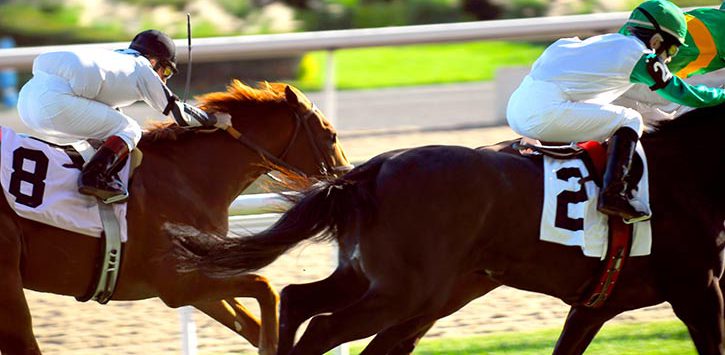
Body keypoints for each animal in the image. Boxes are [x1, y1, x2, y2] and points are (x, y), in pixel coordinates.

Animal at [0, 81, 350, 355]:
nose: (346, 178)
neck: (189, 175)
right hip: (9, 285)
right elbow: (264, 286)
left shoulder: (196, 277)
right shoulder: (176, 283)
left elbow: (247, 322)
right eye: (331, 135)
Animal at [175, 102, 724, 354]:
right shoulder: (698, 290)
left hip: (378, 280)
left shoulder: (594, 306)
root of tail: (371, 169)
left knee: (296, 299)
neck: (685, 171)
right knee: (325, 328)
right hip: (405, 291)